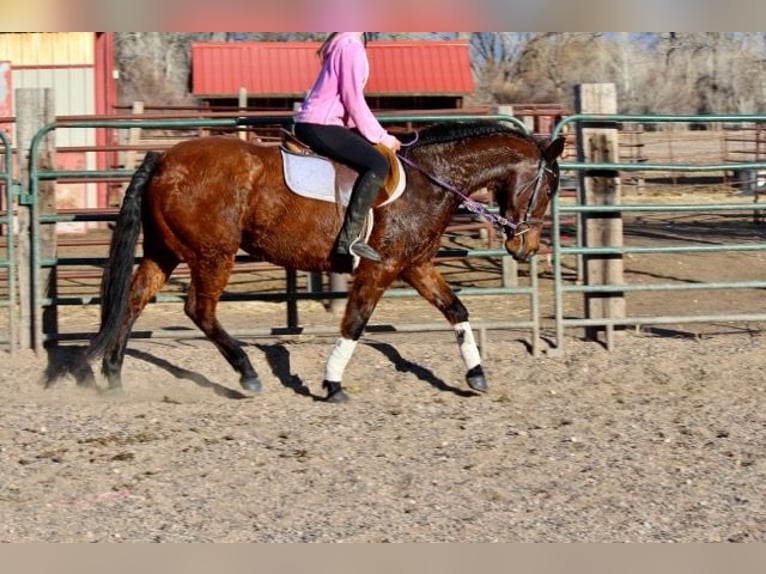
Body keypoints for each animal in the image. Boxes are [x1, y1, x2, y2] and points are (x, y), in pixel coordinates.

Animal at [58, 120, 564, 404]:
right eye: (550, 186)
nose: (525, 248)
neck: (431, 179)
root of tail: (163, 160)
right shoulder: (379, 268)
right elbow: (355, 323)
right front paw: (332, 383)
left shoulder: (415, 265)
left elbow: (456, 309)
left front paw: (476, 375)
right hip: (213, 254)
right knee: (199, 310)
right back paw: (247, 374)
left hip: (165, 251)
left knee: (134, 300)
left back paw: (114, 375)